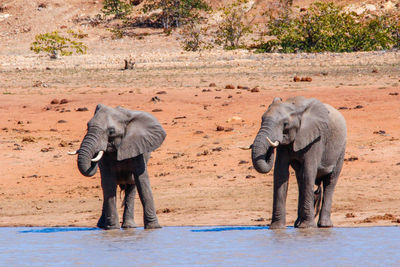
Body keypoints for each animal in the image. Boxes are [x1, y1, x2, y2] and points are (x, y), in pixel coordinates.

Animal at [252, 97, 346, 230]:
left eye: (285, 124)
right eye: (262, 119)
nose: (271, 147)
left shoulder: (316, 139)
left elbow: (308, 173)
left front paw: (307, 227)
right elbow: (280, 174)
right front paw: (277, 228)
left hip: (341, 150)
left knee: (330, 182)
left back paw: (324, 225)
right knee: (300, 180)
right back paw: (298, 224)